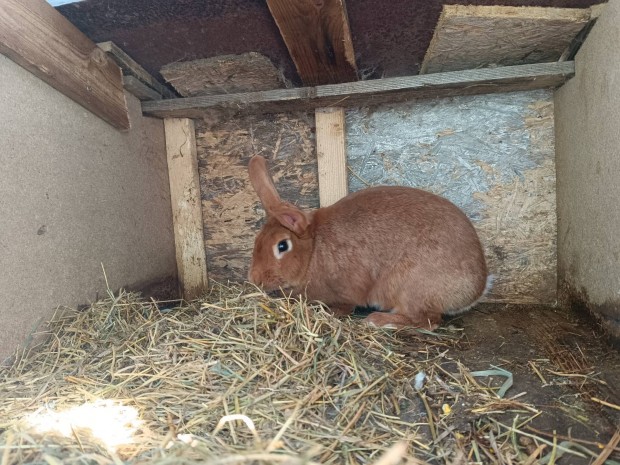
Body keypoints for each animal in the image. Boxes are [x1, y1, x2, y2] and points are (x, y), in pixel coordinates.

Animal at [247, 154, 490, 328]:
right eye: (257, 240)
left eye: (282, 246)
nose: (255, 279)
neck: (314, 249)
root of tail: (476, 290)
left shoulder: (347, 290)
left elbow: (345, 306)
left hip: (410, 288)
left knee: (427, 321)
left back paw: (378, 321)